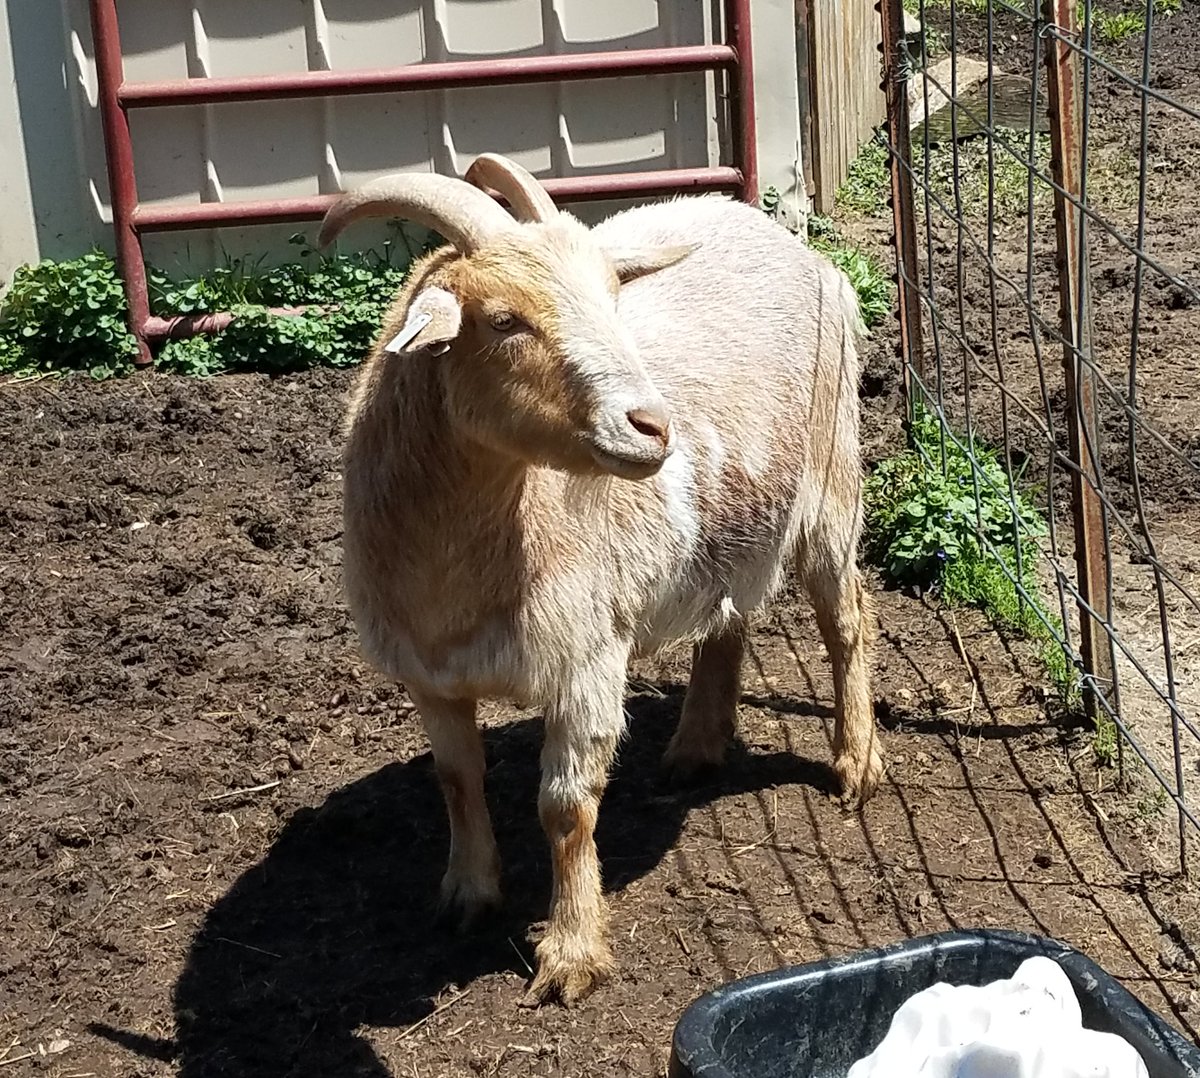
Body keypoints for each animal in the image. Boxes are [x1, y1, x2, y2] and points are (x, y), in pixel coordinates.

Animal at [318, 153, 884, 1006]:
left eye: (613, 297)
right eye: (503, 320)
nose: (652, 425)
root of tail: (783, 237)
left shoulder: (587, 658)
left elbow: (565, 808)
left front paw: (571, 953)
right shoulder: (428, 676)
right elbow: (456, 779)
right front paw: (467, 895)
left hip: (828, 476)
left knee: (846, 617)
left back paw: (856, 763)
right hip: (736, 518)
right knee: (728, 616)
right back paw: (696, 747)